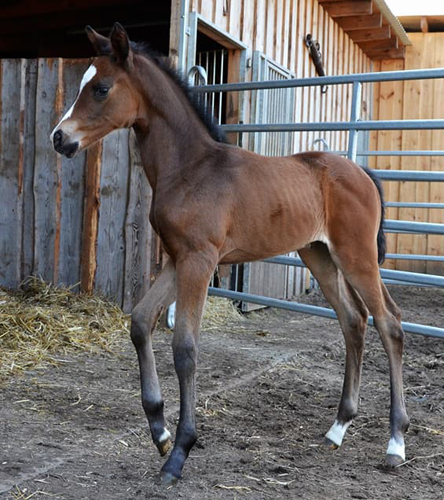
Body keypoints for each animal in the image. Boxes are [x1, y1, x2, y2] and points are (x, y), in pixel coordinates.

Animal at [51, 23, 410, 484]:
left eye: (101, 88)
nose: (60, 138)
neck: (190, 169)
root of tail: (361, 171)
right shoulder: (177, 259)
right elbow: (141, 322)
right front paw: (159, 430)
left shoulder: (200, 261)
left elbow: (185, 347)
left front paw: (179, 452)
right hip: (319, 255)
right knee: (354, 321)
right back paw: (337, 428)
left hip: (357, 256)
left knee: (389, 324)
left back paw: (395, 443)